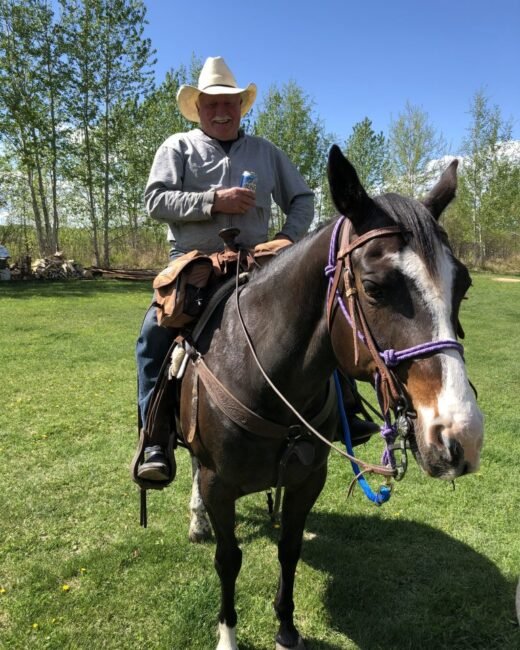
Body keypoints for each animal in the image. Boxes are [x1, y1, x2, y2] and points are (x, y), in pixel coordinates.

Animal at [176, 145, 484, 650]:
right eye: (375, 288)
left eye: (463, 285)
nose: (463, 437)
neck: (263, 379)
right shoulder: (218, 483)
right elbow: (228, 558)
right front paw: (227, 635)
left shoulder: (307, 479)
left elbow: (289, 548)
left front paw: (286, 629)